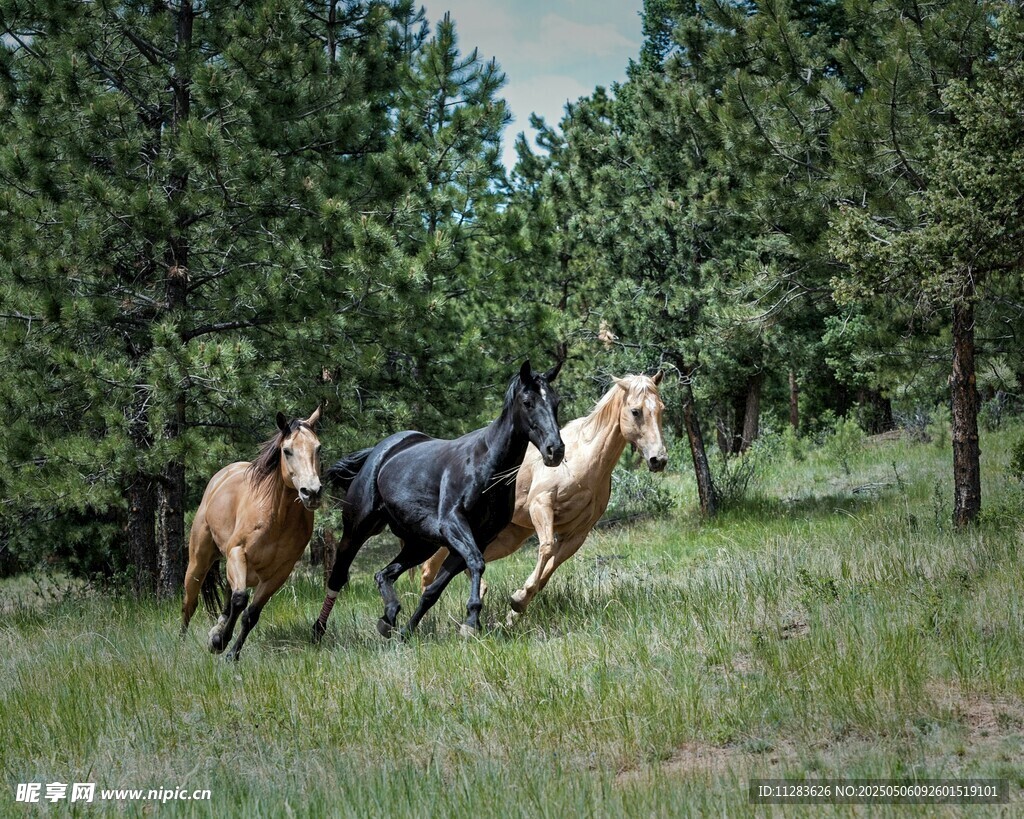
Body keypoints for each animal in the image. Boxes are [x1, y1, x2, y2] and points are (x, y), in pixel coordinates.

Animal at [181, 408, 323, 661]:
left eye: (318, 448)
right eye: (287, 451)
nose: (312, 492)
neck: (277, 518)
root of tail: (221, 477)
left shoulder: (280, 573)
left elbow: (251, 614)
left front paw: (230, 653)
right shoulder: (238, 553)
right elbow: (240, 600)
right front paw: (219, 642)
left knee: (228, 597)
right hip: (199, 562)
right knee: (190, 603)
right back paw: (181, 647)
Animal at [312, 361, 564, 642]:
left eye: (555, 402)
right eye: (528, 402)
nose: (555, 450)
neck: (486, 466)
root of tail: (379, 451)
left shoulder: (475, 538)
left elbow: (433, 590)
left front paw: (407, 631)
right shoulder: (454, 525)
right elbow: (476, 562)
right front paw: (471, 621)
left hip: (420, 544)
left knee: (383, 574)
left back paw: (389, 617)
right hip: (357, 530)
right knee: (338, 576)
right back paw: (319, 630)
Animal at [420, 373, 667, 619]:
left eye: (661, 408)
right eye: (635, 411)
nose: (659, 459)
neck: (584, 460)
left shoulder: (578, 533)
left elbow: (549, 570)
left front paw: (516, 607)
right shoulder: (541, 506)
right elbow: (546, 547)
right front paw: (518, 601)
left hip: (508, 537)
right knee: (430, 566)